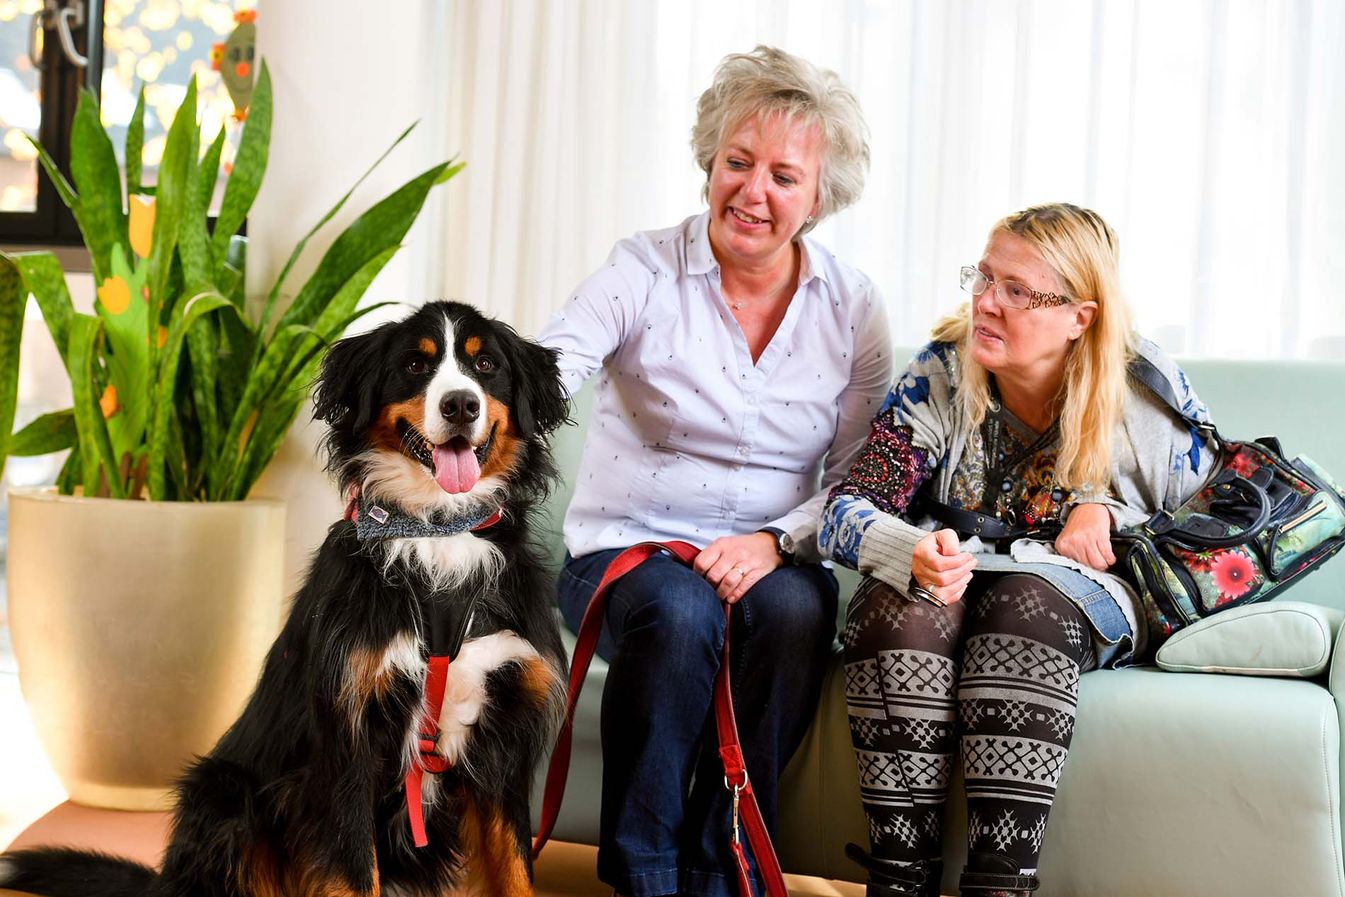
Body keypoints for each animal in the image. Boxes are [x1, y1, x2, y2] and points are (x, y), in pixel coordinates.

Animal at [0, 301, 570, 897]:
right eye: (416, 364)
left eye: (486, 365)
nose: (461, 403)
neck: (438, 536)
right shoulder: (345, 741)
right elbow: (354, 869)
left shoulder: (503, 745)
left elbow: (515, 866)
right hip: (225, 796)